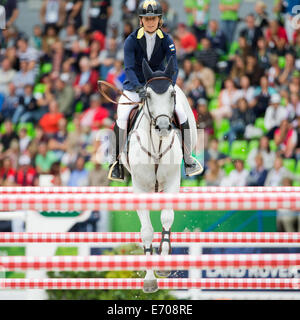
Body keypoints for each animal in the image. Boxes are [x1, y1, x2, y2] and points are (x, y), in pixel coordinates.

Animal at [119, 57, 199, 292]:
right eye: (147, 95)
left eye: (171, 94)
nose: (163, 127)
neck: (156, 145)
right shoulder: (139, 189)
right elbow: (146, 230)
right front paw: (149, 279)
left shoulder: (172, 183)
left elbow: (166, 218)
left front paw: (164, 264)